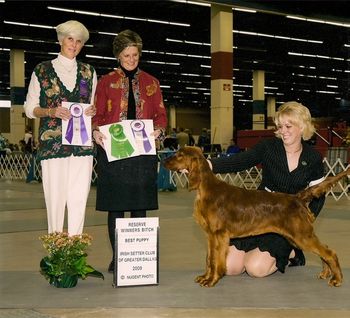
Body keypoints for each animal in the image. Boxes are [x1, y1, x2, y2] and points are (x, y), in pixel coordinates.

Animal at [164, 147, 350, 288]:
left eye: (179, 154)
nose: (164, 161)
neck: (206, 189)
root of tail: (297, 198)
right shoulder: (210, 236)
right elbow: (210, 259)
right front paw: (205, 277)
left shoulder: (219, 234)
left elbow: (217, 260)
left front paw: (212, 280)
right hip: (298, 237)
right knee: (324, 250)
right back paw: (326, 273)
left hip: (301, 236)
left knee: (330, 252)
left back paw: (337, 279)